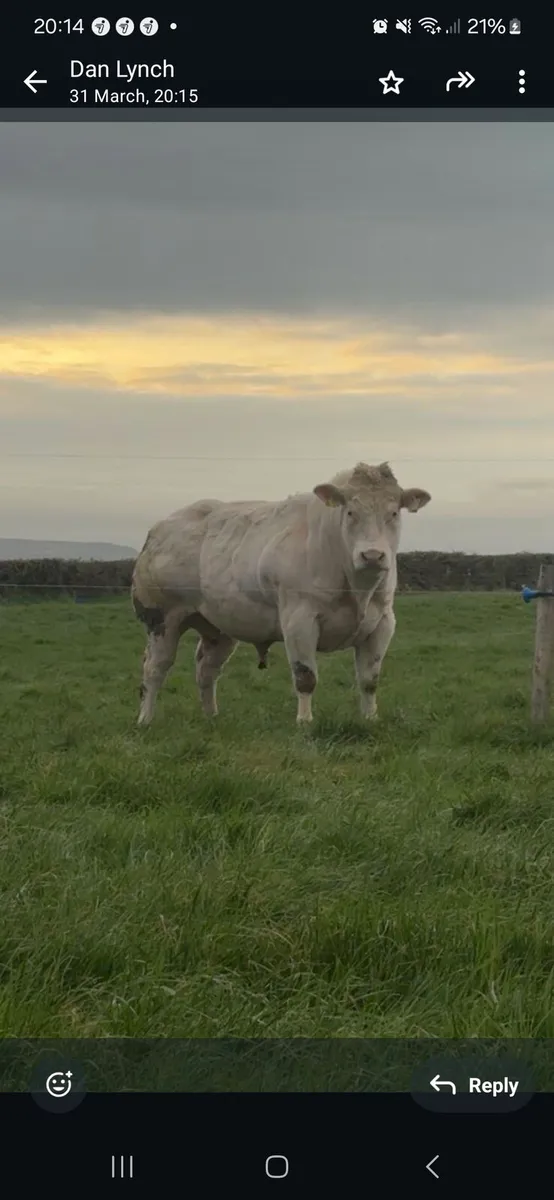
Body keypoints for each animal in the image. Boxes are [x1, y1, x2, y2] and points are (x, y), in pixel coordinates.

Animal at [131, 461, 431, 727]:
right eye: (350, 512)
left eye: (394, 513)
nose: (372, 555)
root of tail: (160, 528)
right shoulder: (299, 620)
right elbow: (305, 677)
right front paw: (305, 722)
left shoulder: (382, 623)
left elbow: (369, 680)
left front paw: (370, 718)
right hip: (162, 619)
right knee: (154, 668)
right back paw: (145, 719)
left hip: (220, 627)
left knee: (207, 670)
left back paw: (211, 717)